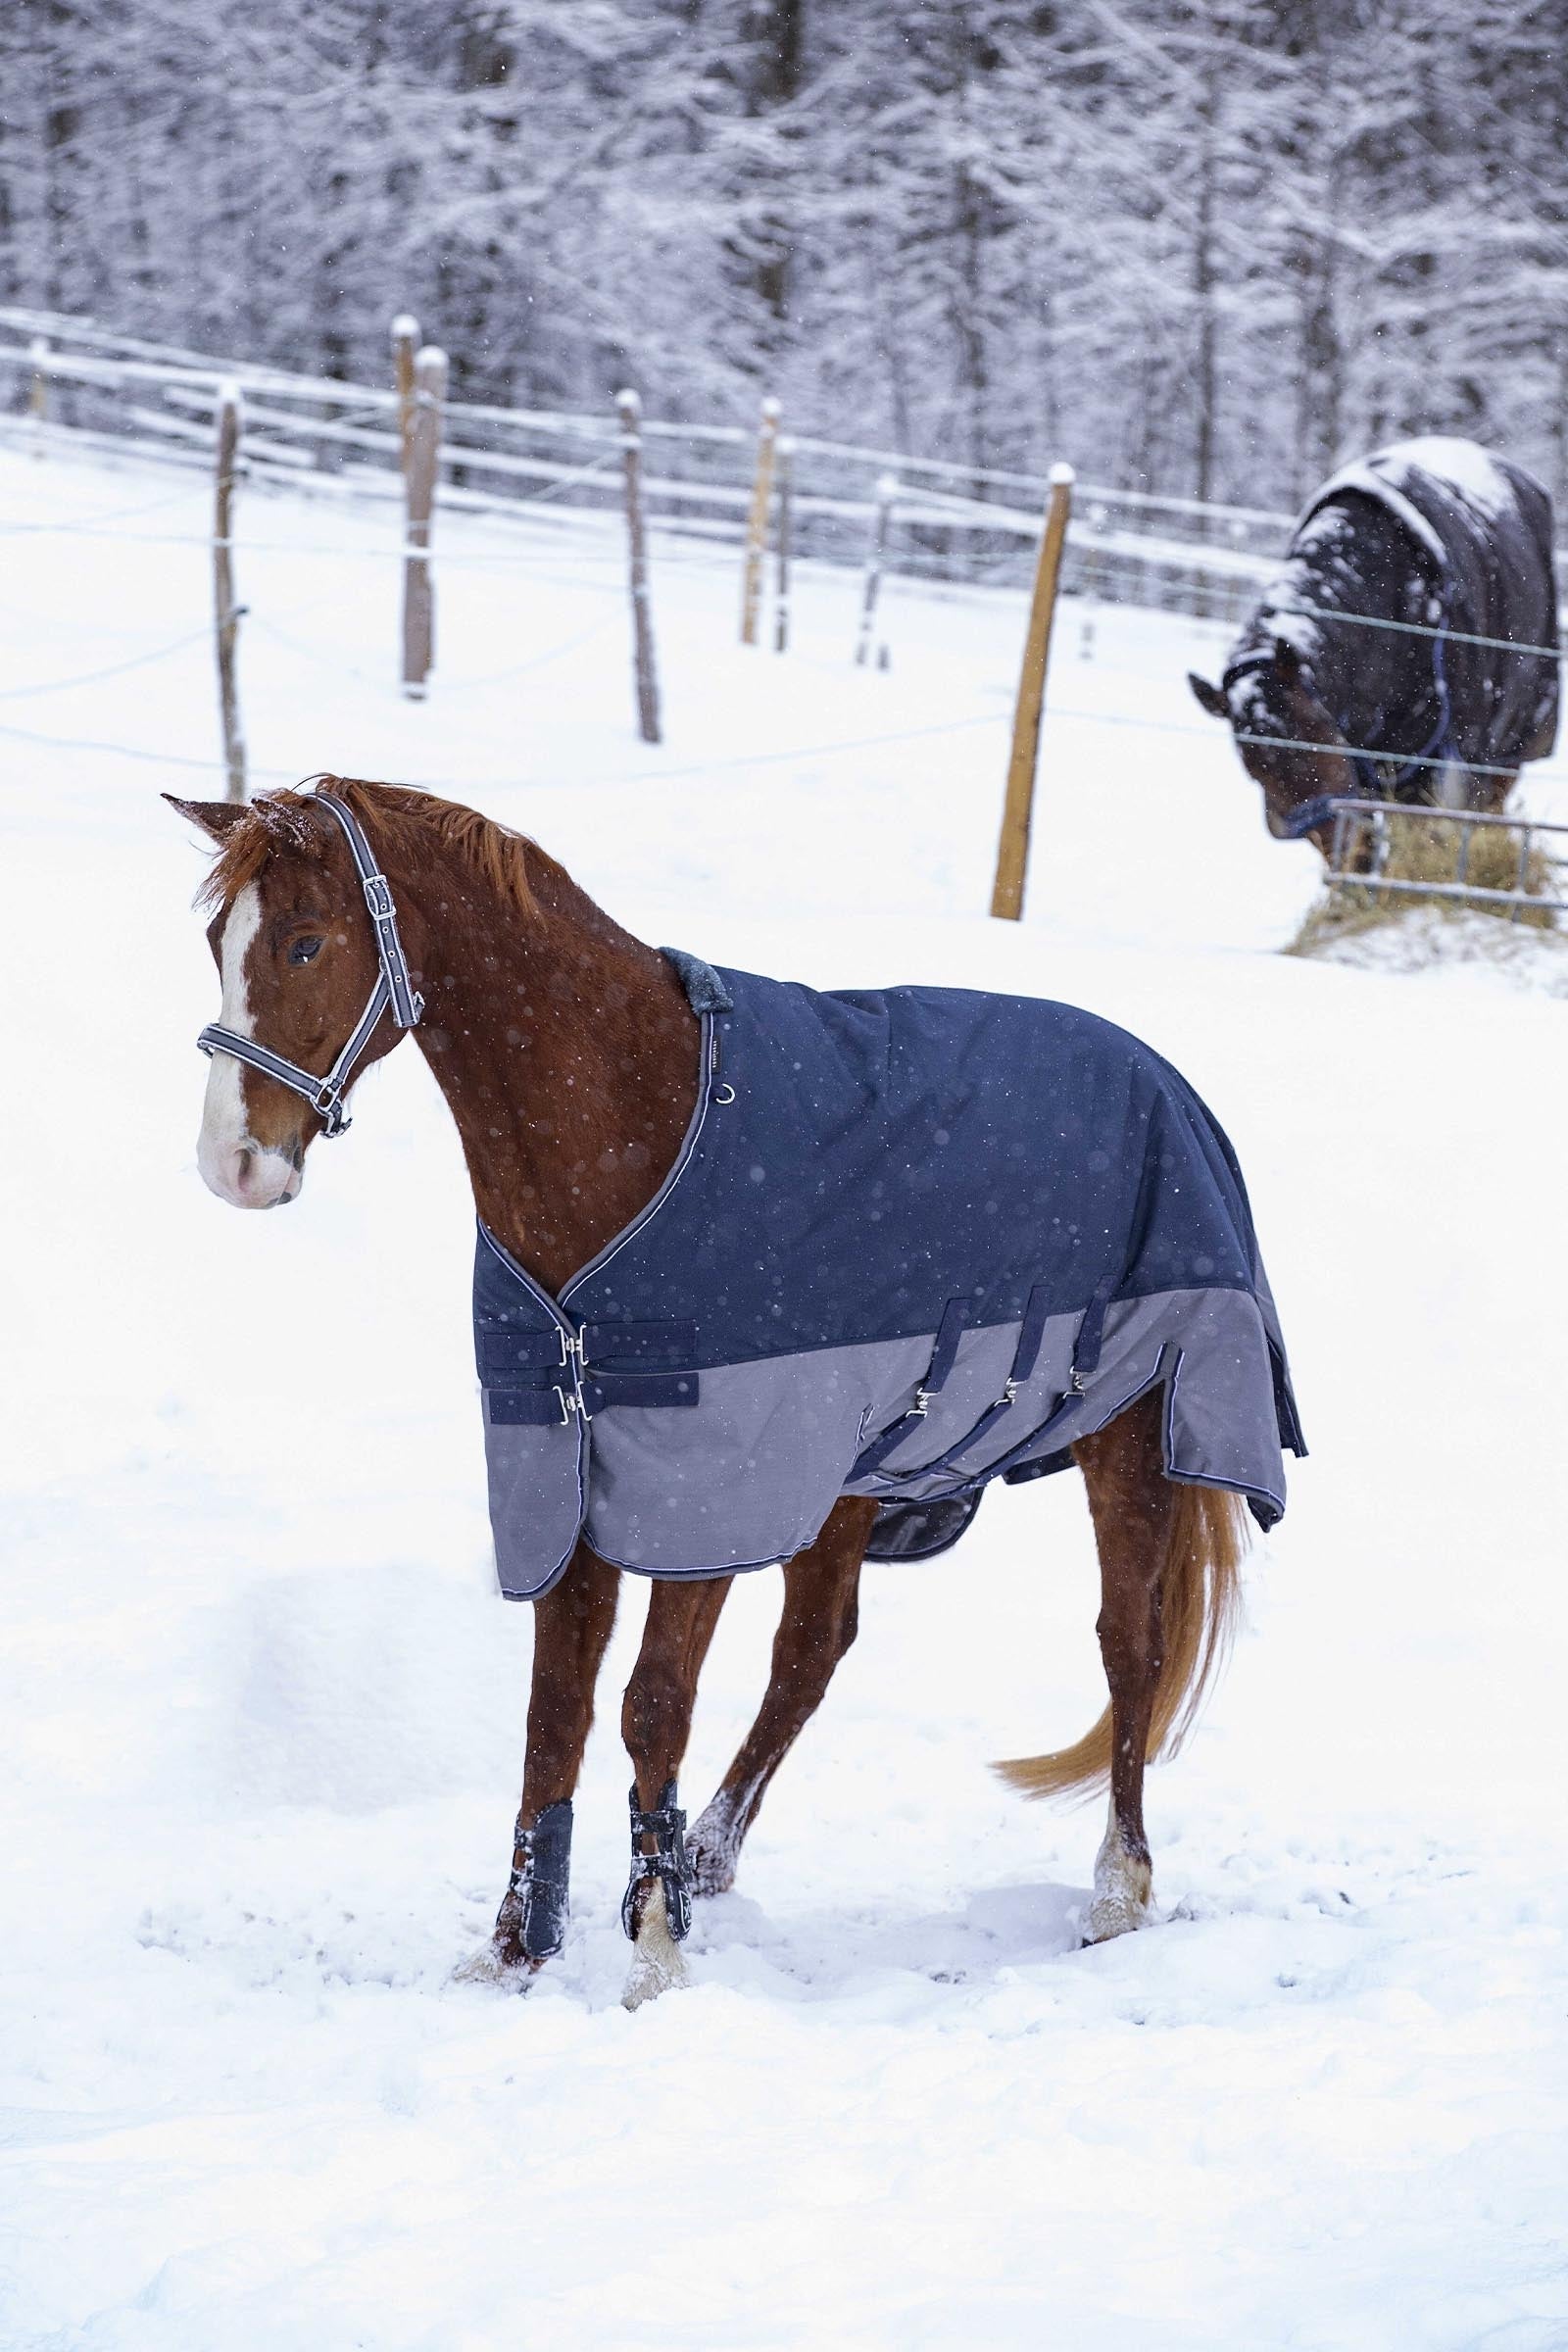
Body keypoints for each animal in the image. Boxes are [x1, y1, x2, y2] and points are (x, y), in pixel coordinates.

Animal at [168, 776, 1299, 2006]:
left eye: (306, 941)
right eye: (214, 944)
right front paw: (517, 1949)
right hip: (852, 1473)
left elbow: (650, 1705)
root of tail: (1166, 1081)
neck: (633, 1119)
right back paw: (709, 1854)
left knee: (1128, 1644)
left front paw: (654, 1953)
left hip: (1128, 1438)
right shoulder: (566, 1479)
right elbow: (553, 1715)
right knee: (812, 1654)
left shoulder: (698, 1496)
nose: (232, 1166)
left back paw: (1116, 1890)